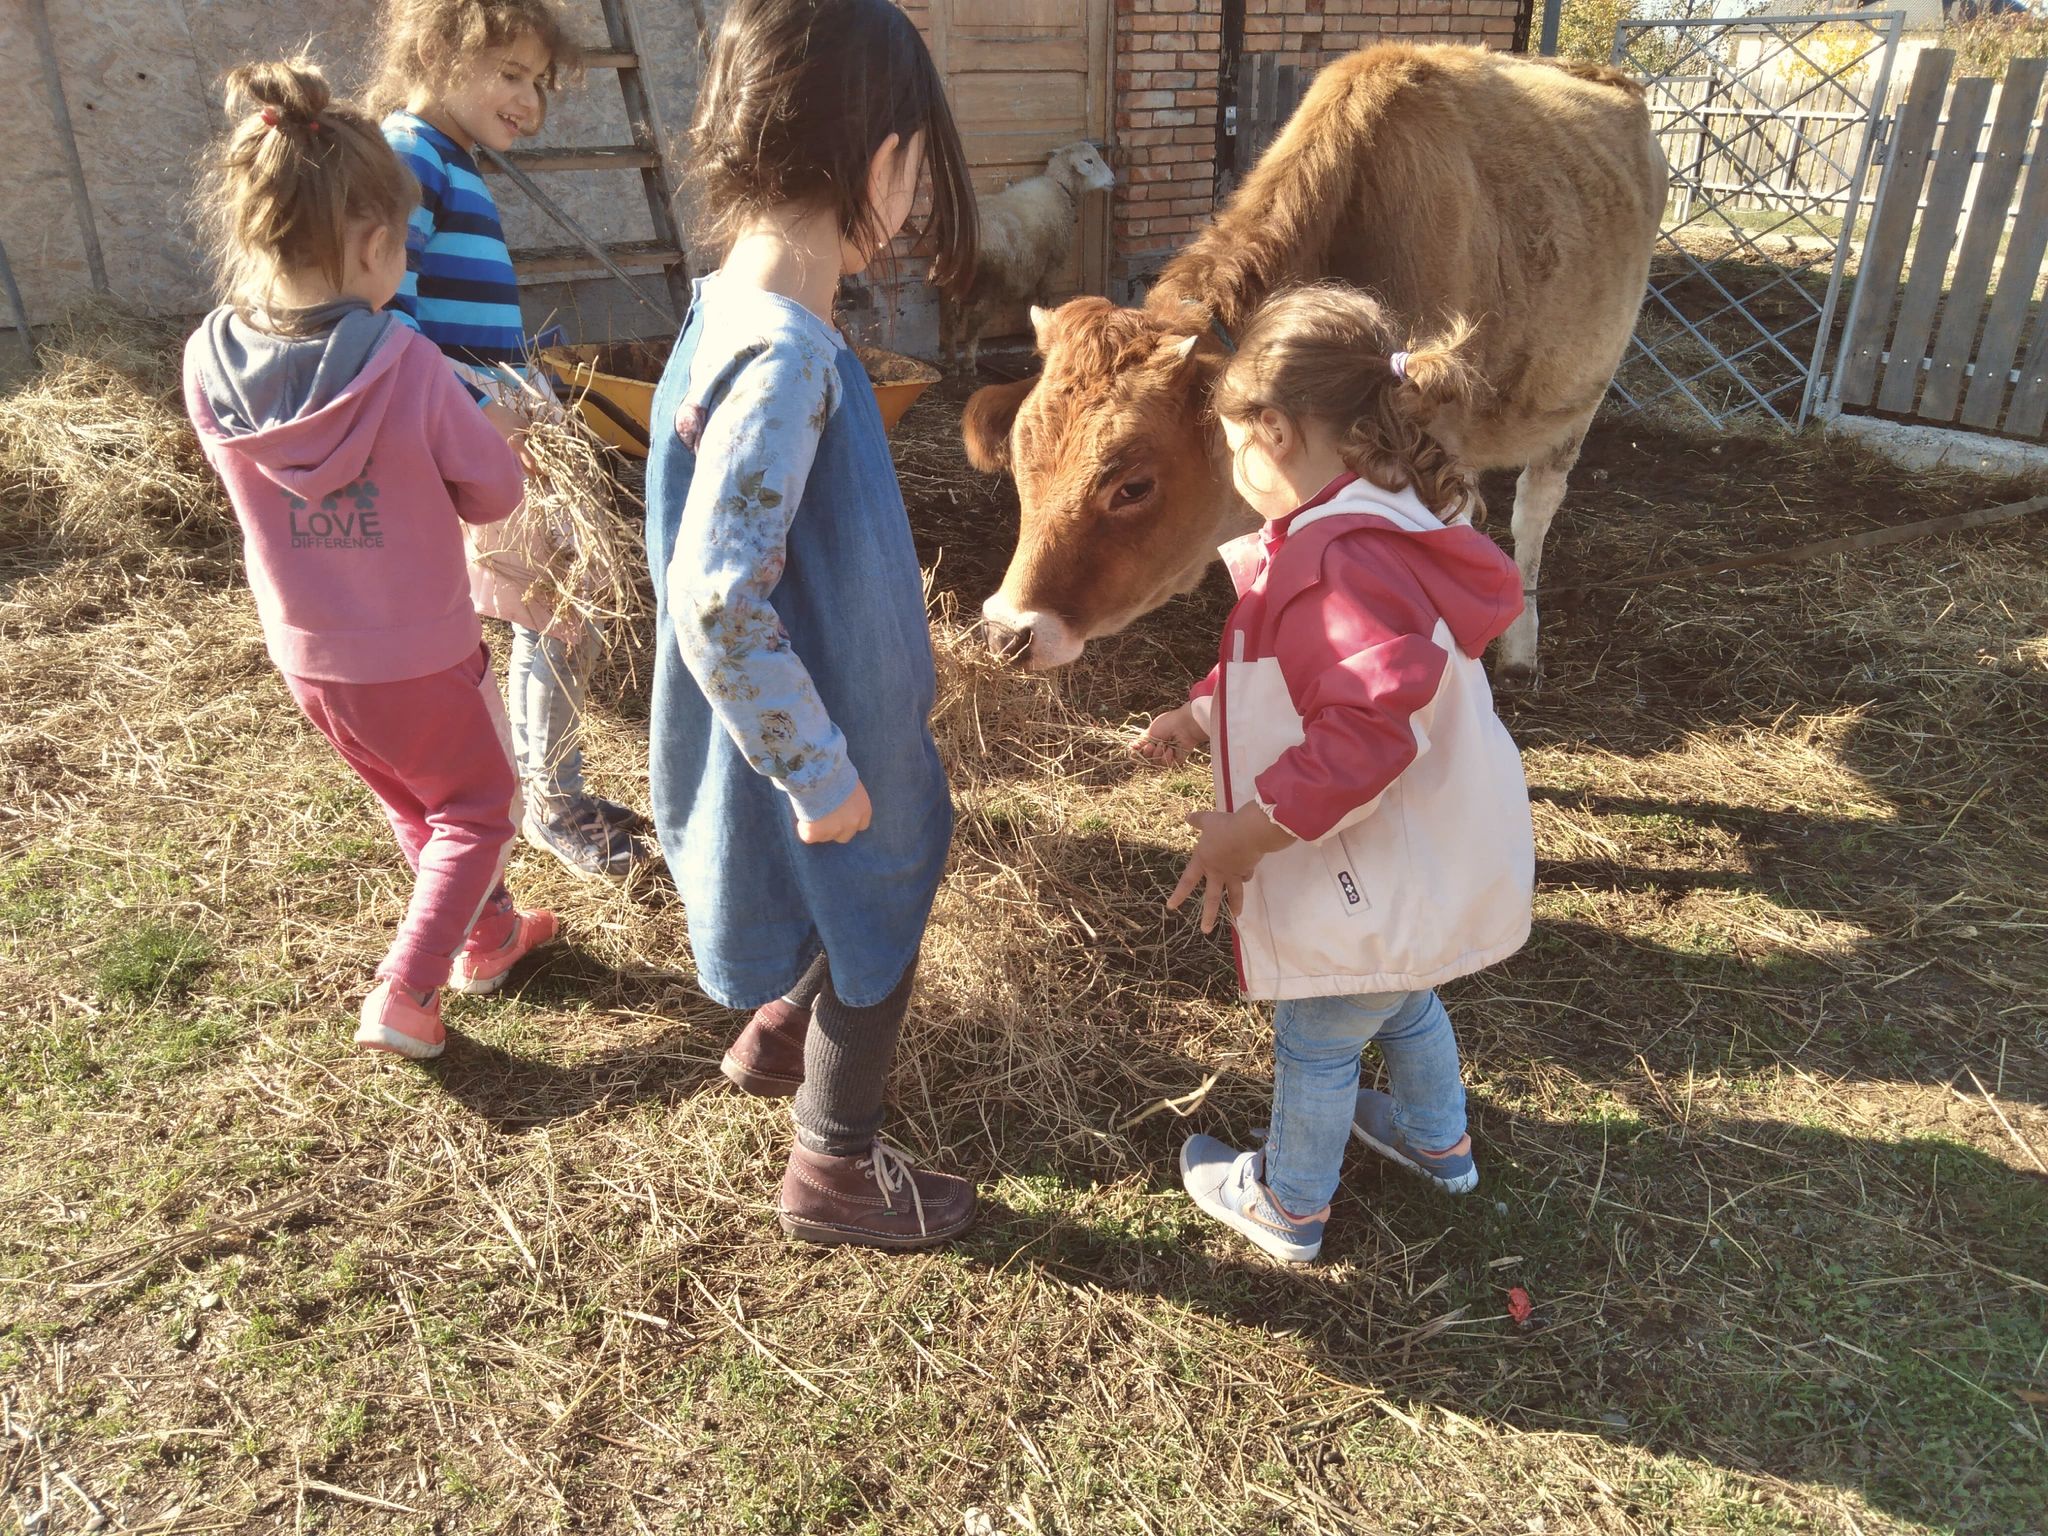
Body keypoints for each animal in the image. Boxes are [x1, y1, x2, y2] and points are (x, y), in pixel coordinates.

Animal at [942, 141, 1122, 376]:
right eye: (1089, 160)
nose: (1113, 180)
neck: (1058, 188)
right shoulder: (1050, 265)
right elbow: (1044, 296)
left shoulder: (1031, 264)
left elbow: (1028, 298)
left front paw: (1031, 326)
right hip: (990, 285)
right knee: (973, 323)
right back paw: (968, 363)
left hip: (950, 284)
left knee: (950, 322)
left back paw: (951, 362)